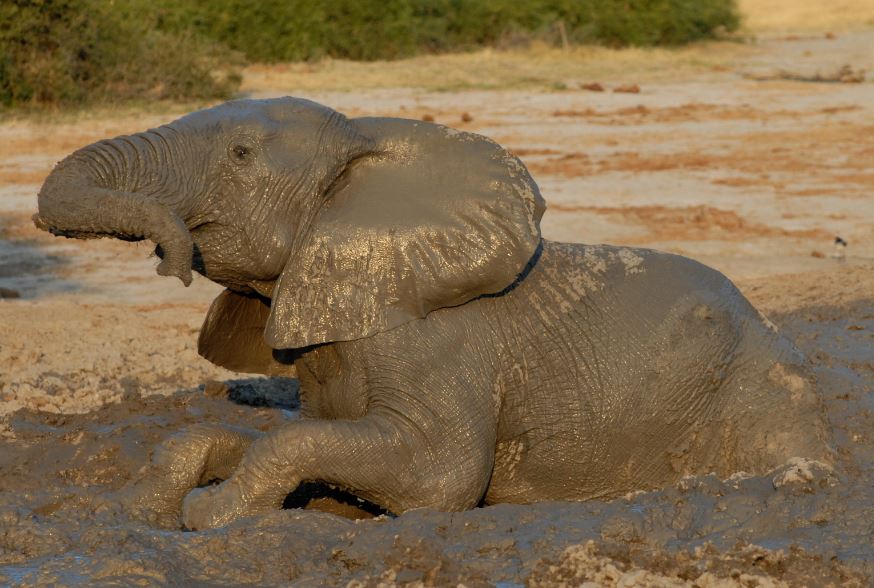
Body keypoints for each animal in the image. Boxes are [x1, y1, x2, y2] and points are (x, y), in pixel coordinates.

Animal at [30, 95, 828, 528]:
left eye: (242, 154)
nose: (168, 255)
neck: (366, 149)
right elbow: (275, 434)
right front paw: (143, 508)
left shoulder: (429, 339)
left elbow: (439, 474)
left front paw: (213, 515)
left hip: (757, 381)